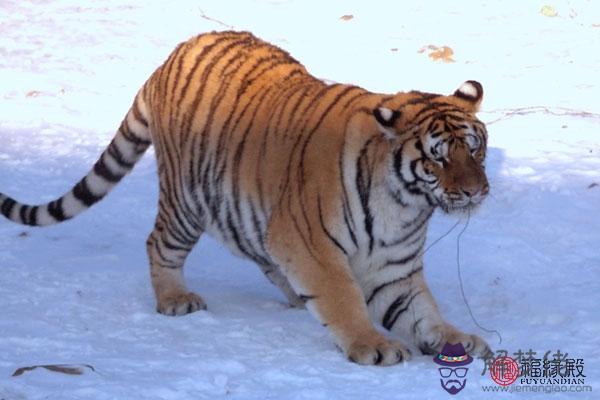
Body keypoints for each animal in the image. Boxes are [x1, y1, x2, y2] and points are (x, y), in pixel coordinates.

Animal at [1, 31, 492, 366]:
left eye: (474, 149)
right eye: (437, 158)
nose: (475, 191)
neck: (405, 205)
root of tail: (172, 56)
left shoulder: (393, 267)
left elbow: (422, 311)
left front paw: (456, 339)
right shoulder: (311, 245)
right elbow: (343, 299)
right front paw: (371, 346)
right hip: (188, 200)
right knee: (159, 243)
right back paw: (175, 299)